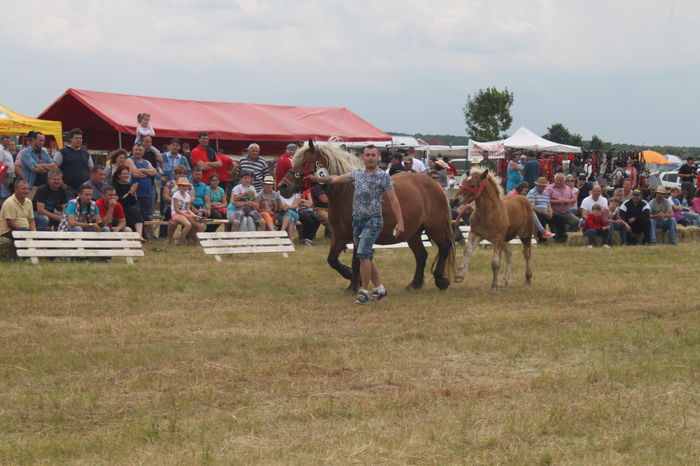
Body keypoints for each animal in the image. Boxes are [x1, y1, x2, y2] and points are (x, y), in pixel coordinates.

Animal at [278, 139, 460, 292]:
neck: (346, 192)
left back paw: (441, 280)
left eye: (305, 162)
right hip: (412, 233)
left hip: (434, 228)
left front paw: (353, 286)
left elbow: (355, 261)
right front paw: (350, 276)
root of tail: (435, 185)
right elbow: (332, 260)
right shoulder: (339, 234)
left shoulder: (356, 235)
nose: (282, 187)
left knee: (444, 247)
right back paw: (415, 284)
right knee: (422, 255)